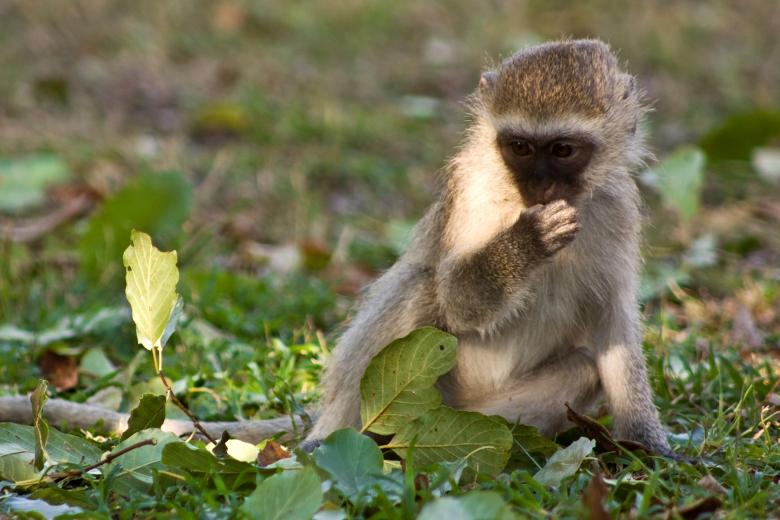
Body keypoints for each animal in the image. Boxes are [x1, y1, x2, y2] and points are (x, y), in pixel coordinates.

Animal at [304, 39, 673, 456]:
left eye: (562, 150)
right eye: (520, 147)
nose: (541, 185)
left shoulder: (618, 209)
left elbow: (614, 320)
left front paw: (648, 444)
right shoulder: (472, 187)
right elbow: (457, 298)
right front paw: (529, 240)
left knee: (582, 370)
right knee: (421, 288)